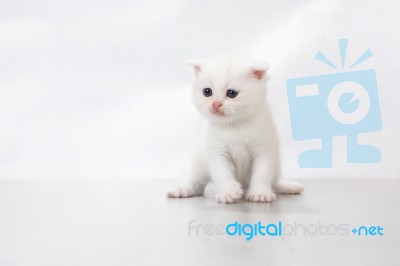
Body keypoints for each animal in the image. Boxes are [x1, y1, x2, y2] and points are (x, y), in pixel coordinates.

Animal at [166, 55, 304, 203]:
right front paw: (229, 192)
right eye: (207, 92)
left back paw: (288, 186)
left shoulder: (264, 150)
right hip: (200, 163)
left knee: (274, 181)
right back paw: (182, 189)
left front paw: (260, 193)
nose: (215, 104)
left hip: (277, 165)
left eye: (231, 93)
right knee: (196, 183)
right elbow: (222, 173)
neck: (235, 125)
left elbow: (262, 174)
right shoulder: (217, 152)